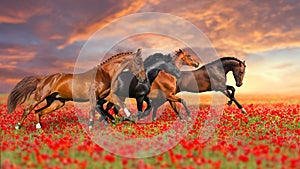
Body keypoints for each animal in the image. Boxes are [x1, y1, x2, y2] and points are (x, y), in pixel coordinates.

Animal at [7, 48, 146, 130]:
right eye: (139, 62)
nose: (144, 79)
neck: (105, 74)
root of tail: (43, 78)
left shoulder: (107, 96)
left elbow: (121, 104)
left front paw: (132, 119)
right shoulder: (93, 96)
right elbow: (92, 110)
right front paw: (90, 127)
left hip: (57, 102)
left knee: (38, 112)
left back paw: (39, 128)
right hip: (40, 97)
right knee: (28, 109)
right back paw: (18, 126)